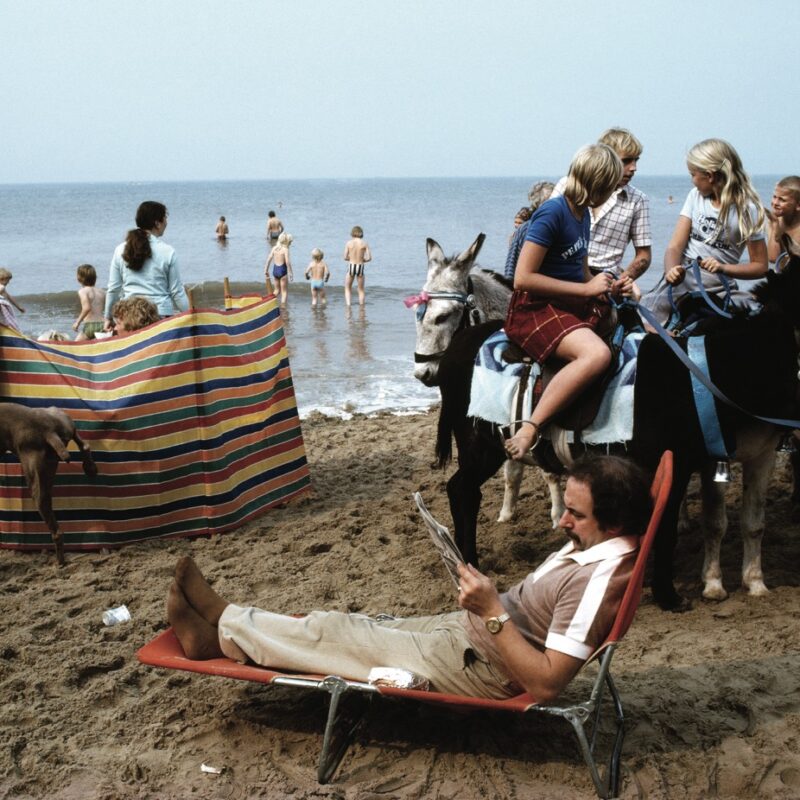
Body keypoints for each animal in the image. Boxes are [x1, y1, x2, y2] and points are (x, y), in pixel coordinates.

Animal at [0, 404, 97, 564]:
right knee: (84, 445)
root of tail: (48, 431)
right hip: (62, 423)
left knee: (55, 530)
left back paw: (60, 561)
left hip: (34, 475)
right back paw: (90, 467)